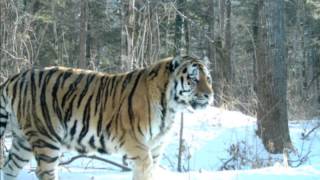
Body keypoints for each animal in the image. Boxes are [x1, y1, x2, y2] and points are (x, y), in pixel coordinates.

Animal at [0, 55, 215, 179]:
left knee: (9, 167)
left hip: (23, 142)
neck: (171, 107)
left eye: (208, 78)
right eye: (193, 79)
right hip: (46, 139)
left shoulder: (156, 148)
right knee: (44, 171)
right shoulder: (138, 146)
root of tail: (15, 77)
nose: (209, 95)